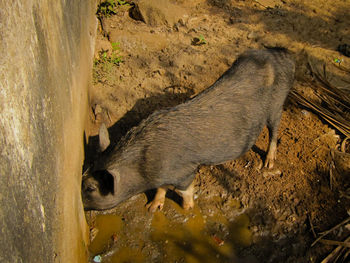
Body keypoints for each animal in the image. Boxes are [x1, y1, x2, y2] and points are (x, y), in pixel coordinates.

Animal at [82, 48, 296, 212]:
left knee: (274, 131)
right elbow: (162, 188)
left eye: (90, 188)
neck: (142, 166)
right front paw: (151, 208)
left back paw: (268, 164)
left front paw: (188, 210)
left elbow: (184, 189)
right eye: (84, 173)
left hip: (277, 104)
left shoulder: (185, 171)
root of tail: (282, 53)